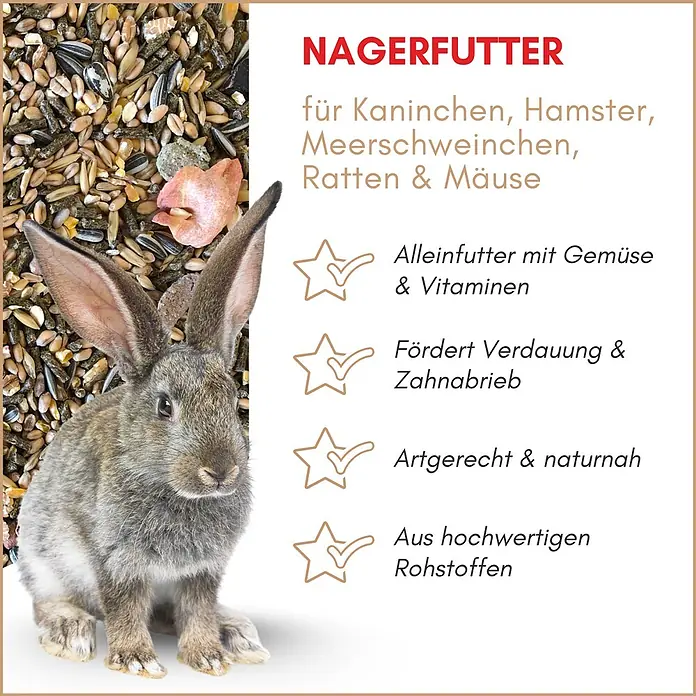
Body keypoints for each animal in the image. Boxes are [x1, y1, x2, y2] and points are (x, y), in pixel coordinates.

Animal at [17, 181, 282, 678]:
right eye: (164, 407)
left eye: (232, 398)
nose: (220, 470)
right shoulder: (115, 561)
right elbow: (123, 607)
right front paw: (137, 662)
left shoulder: (202, 571)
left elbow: (197, 609)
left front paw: (208, 657)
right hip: (43, 559)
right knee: (49, 602)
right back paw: (69, 632)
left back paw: (236, 635)